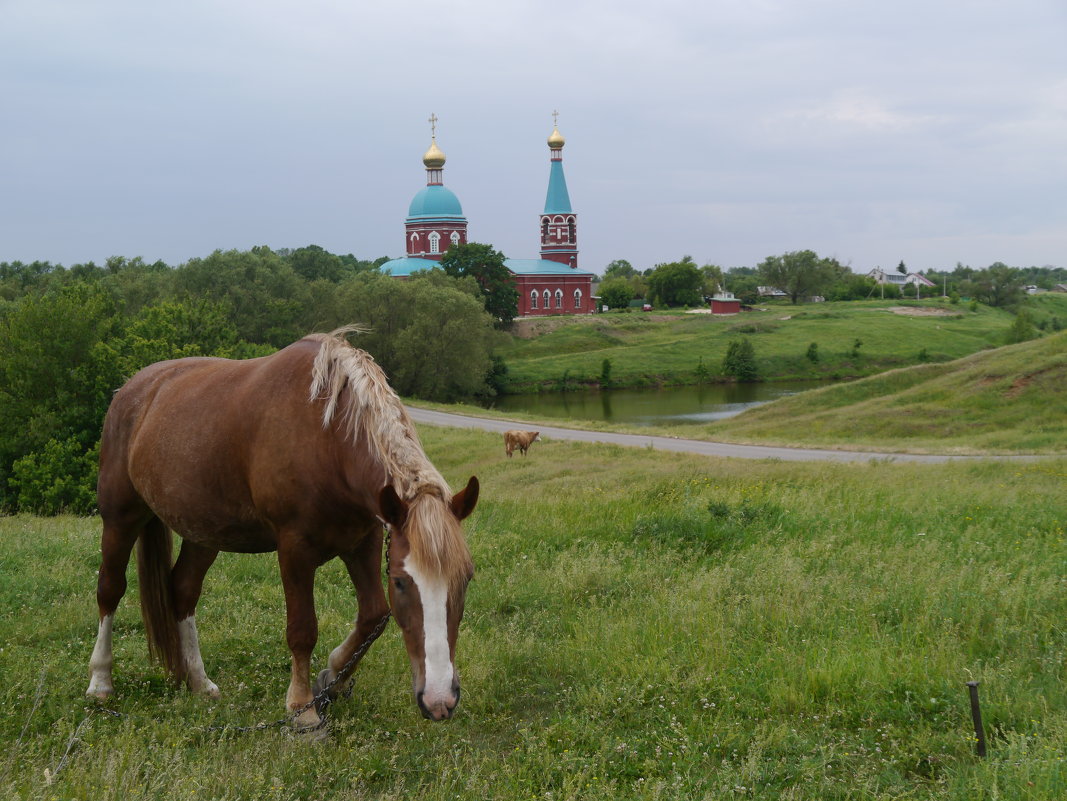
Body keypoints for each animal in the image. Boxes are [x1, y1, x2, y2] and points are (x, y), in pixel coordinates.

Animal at [87, 328, 480, 729]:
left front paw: (333, 678)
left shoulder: (364, 541)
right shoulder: (295, 548)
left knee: (183, 590)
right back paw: (100, 682)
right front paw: (302, 707)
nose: (439, 700)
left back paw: (198, 681)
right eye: (401, 582)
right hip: (121, 516)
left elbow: (373, 614)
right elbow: (302, 630)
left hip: (204, 532)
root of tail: (132, 389)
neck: (328, 438)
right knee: (110, 589)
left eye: (466, 578)